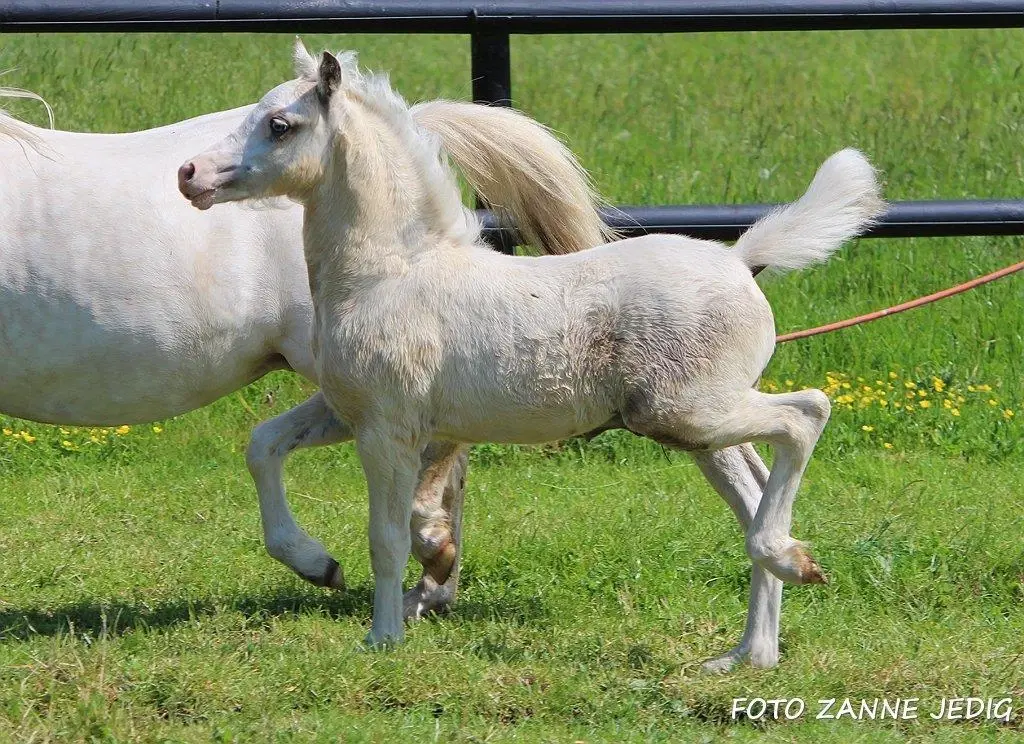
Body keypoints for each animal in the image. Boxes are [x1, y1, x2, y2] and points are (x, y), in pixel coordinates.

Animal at [180, 42, 884, 671]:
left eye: (280, 124)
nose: (189, 175)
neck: (392, 273)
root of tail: (740, 261)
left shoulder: (388, 428)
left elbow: (388, 537)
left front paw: (381, 640)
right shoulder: (344, 409)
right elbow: (263, 444)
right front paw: (317, 563)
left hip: (689, 410)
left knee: (806, 414)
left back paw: (786, 565)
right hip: (698, 428)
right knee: (756, 488)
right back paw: (751, 650)